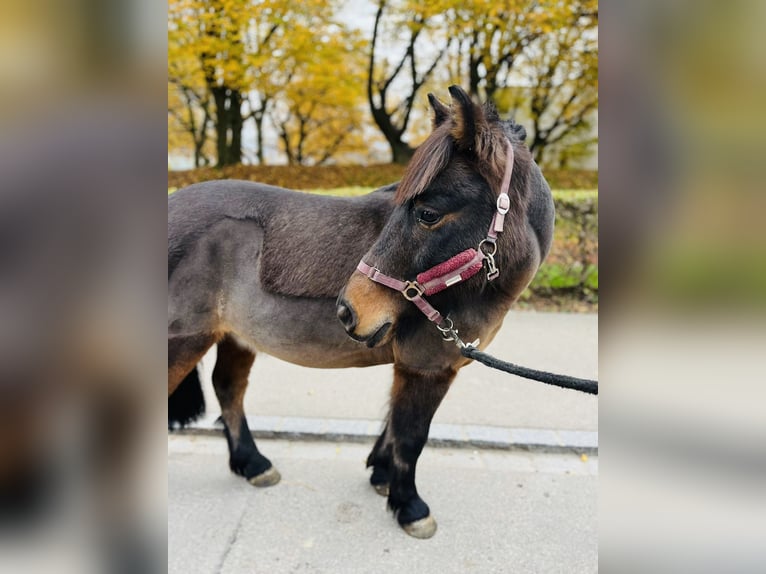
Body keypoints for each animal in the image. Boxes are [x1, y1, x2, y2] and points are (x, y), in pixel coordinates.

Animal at [168, 85, 556, 540]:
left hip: (237, 338)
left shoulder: (412, 365)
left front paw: (382, 477)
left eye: (427, 213)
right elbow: (410, 436)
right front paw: (410, 506)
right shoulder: (426, 366)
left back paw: (253, 464)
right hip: (183, 342)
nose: (347, 310)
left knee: (229, 389)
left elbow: (392, 424)